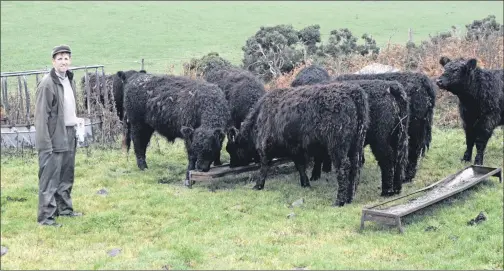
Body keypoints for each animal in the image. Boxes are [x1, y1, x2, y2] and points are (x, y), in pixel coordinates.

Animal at [226, 82, 368, 206]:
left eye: (230, 149)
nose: (231, 165)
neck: (258, 118)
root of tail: (352, 92)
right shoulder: (295, 150)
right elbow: (300, 166)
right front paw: (305, 183)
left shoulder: (265, 148)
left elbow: (264, 167)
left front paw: (258, 186)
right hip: (356, 145)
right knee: (355, 168)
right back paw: (350, 198)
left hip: (337, 146)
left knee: (343, 168)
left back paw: (339, 201)